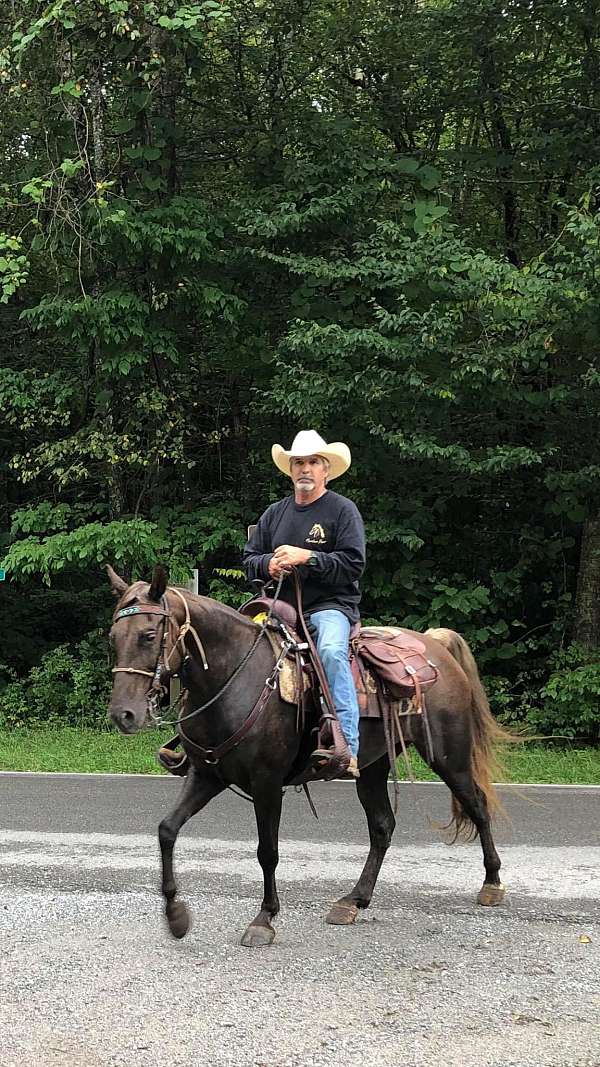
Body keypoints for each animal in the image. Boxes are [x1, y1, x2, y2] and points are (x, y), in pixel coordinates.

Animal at [107, 563, 508, 947]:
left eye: (148, 635)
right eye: (113, 637)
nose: (123, 715)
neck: (234, 679)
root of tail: (435, 645)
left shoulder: (267, 784)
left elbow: (267, 851)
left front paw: (264, 920)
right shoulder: (207, 775)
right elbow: (167, 830)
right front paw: (176, 916)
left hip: (448, 756)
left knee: (477, 805)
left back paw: (492, 883)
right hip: (373, 766)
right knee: (382, 826)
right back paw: (354, 900)